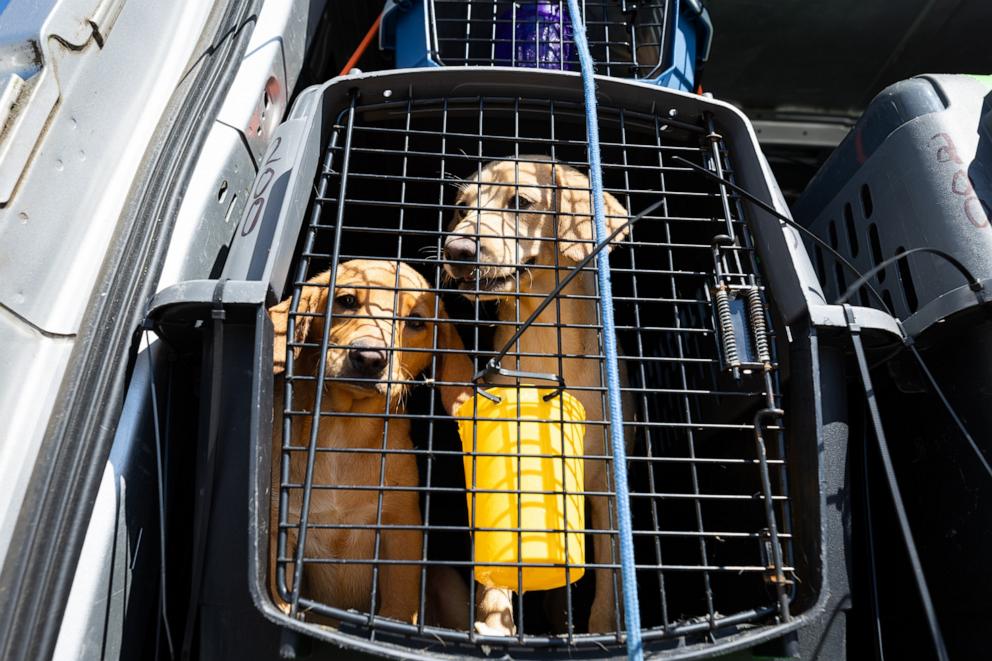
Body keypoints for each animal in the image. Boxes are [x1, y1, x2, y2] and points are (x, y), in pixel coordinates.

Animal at [270, 260, 474, 624]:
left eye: (416, 321)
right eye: (347, 300)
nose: (369, 357)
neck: (343, 429)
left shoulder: (400, 529)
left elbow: (397, 608)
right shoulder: (283, 530)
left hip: (448, 581)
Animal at [444, 156, 632, 636]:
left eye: (521, 202)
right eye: (462, 207)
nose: (455, 250)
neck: (543, 334)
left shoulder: (606, 488)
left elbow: (611, 578)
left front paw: (603, 630)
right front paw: (495, 620)